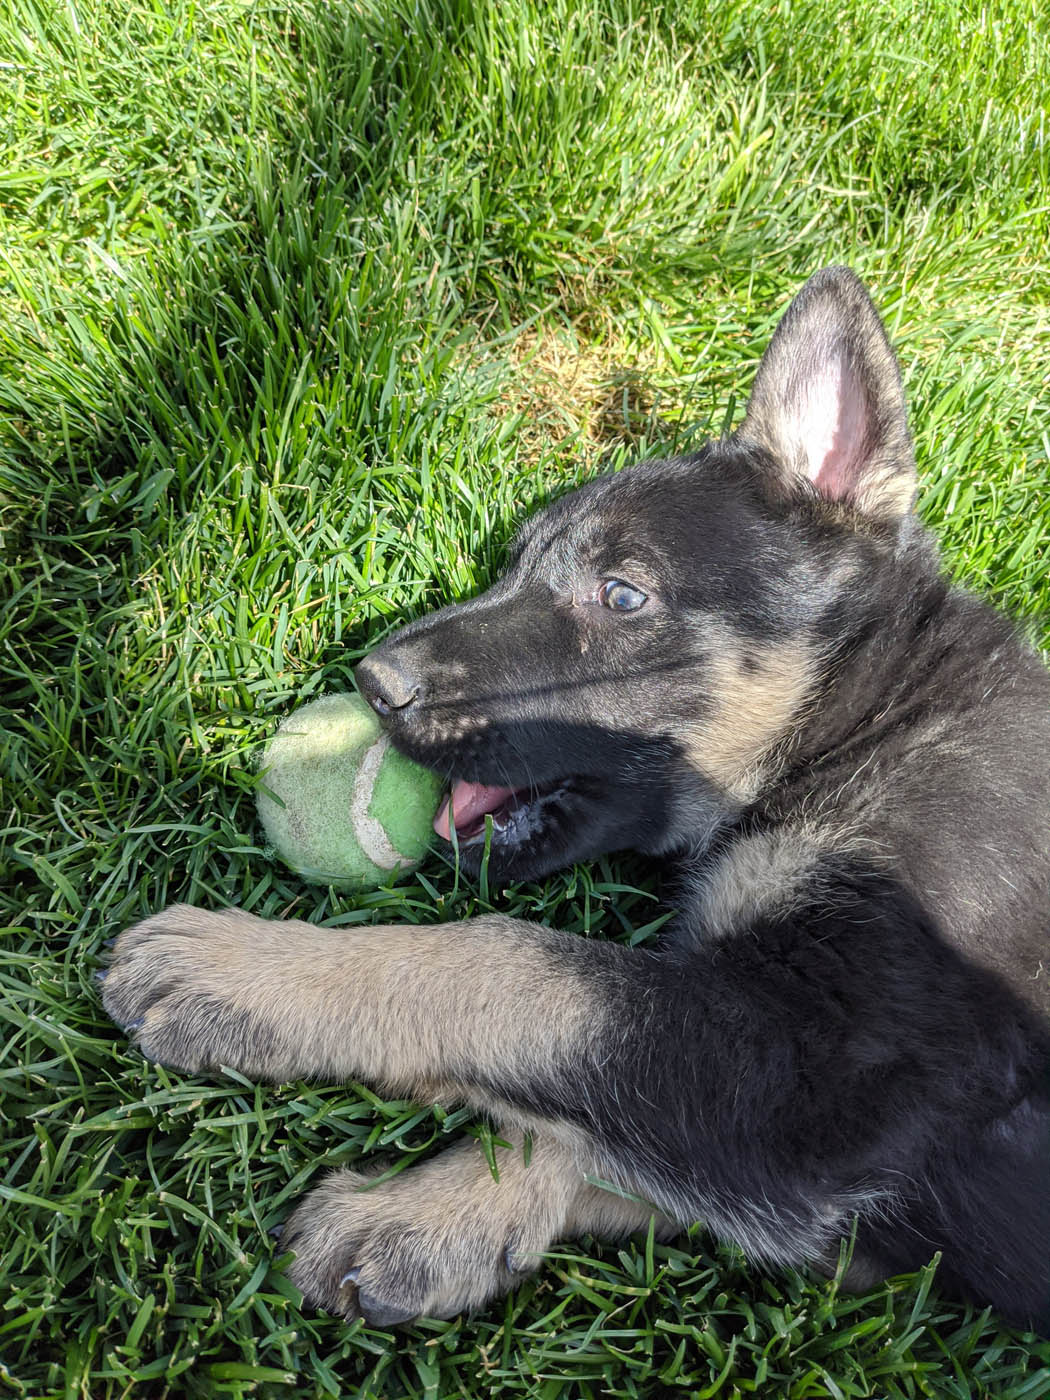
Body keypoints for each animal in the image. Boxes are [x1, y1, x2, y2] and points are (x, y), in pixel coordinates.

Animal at [102, 270, 1050, 1332]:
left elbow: (508, 968)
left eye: (622, 595)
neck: (873, 712)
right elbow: (610, 1136)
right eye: (512, 565)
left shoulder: (824, 1062)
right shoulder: (839, 1196)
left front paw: (247, 974)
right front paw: (433, 1219)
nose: (376, 684)